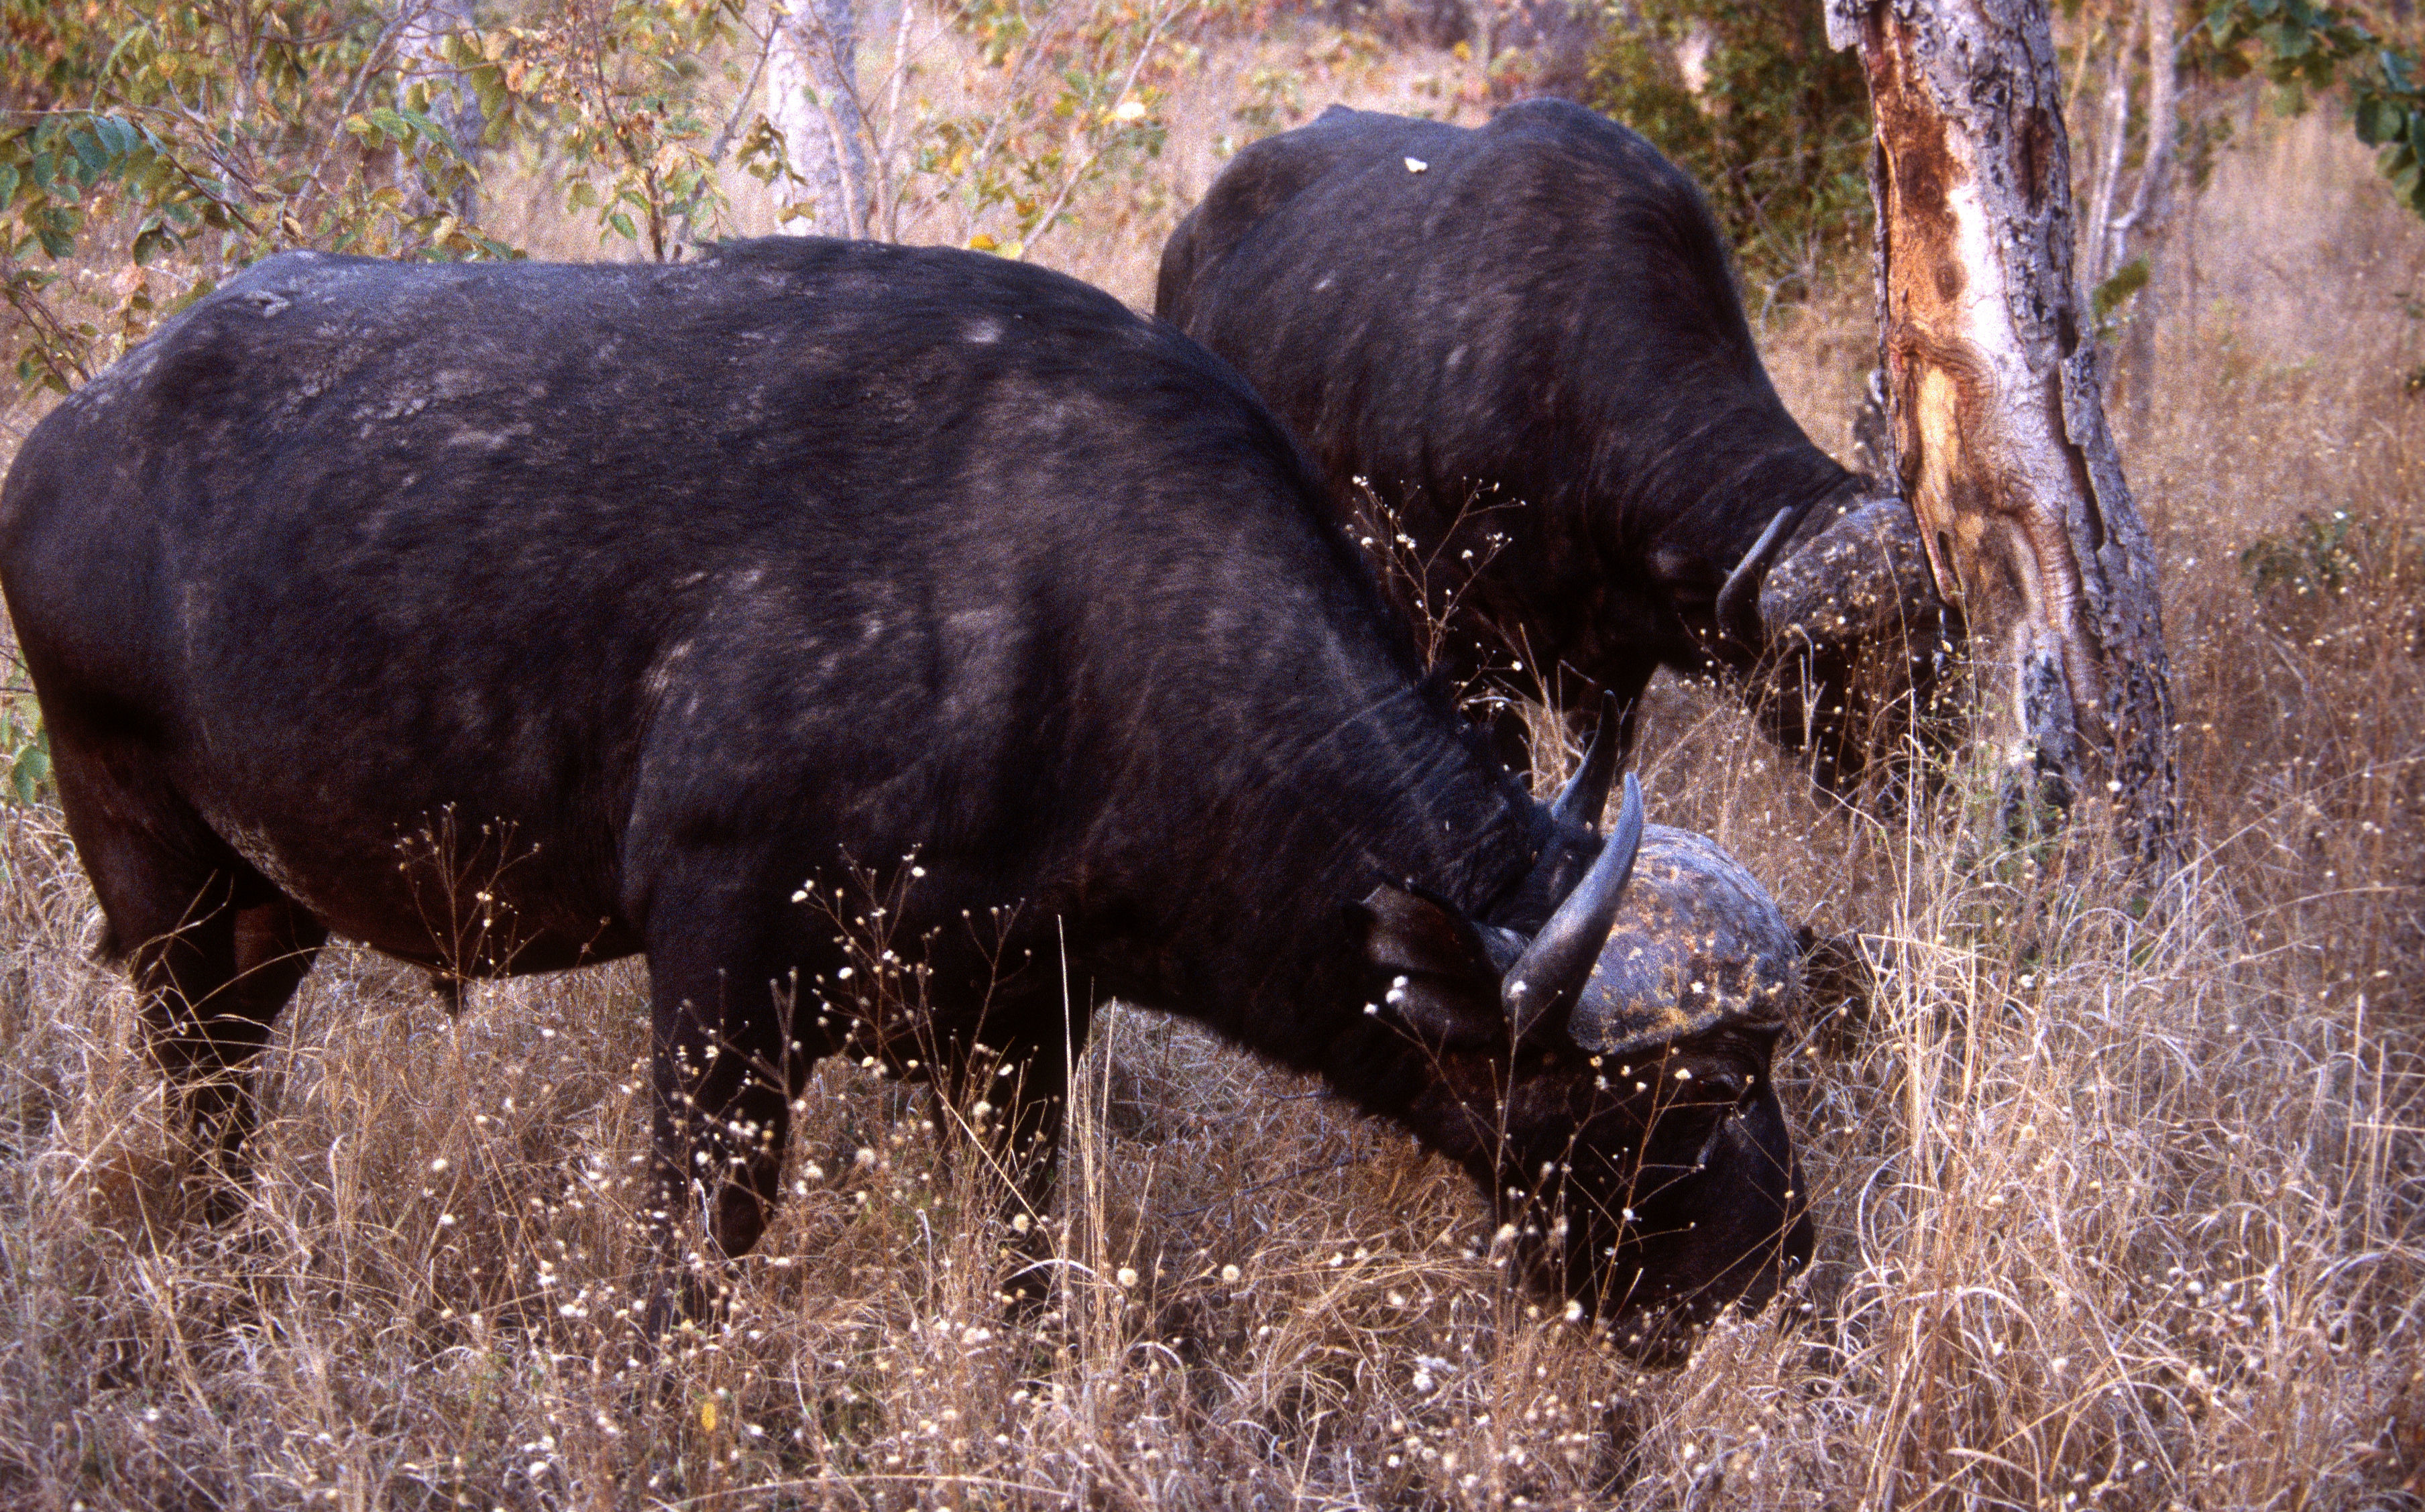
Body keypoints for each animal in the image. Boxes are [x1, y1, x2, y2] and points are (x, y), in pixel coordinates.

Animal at [0, 236, 1813, 1337]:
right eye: (1680, 1101)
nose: (1777, 1264)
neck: (1081, 616)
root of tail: (74, 434)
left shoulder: (1020, 1019)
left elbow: (1018, 1243)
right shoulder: (716, 957)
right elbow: (700, 1234)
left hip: (267, 904)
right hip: (151, 872)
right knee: (201, 1085)